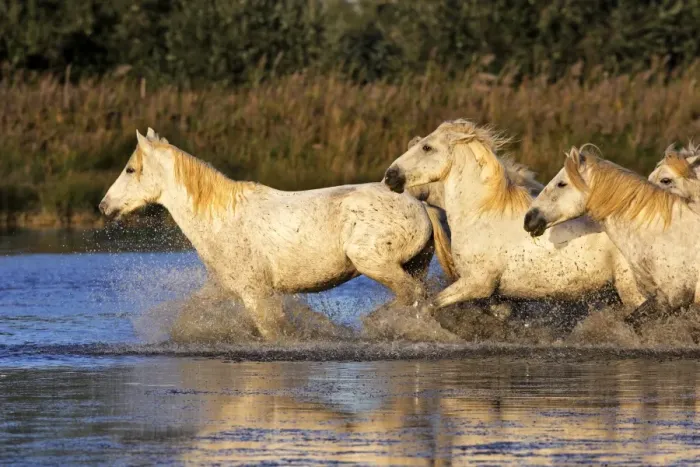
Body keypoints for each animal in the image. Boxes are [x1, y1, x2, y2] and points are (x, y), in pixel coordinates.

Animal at [99, 129, 455, 339]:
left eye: (130, 169)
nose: (104, 206)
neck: (221, 219)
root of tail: (420, 204)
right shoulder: (220, 288)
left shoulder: (256, 294)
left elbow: (273, 332)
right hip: (413, 266)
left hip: (376, 265)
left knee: (413, 298)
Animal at [383, 119, 645, 311]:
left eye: (427, 147)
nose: (390, 176)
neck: (480, 214)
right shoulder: (496, 296)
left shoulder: (478, 283)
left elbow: (429, 305)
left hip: (632, 289)